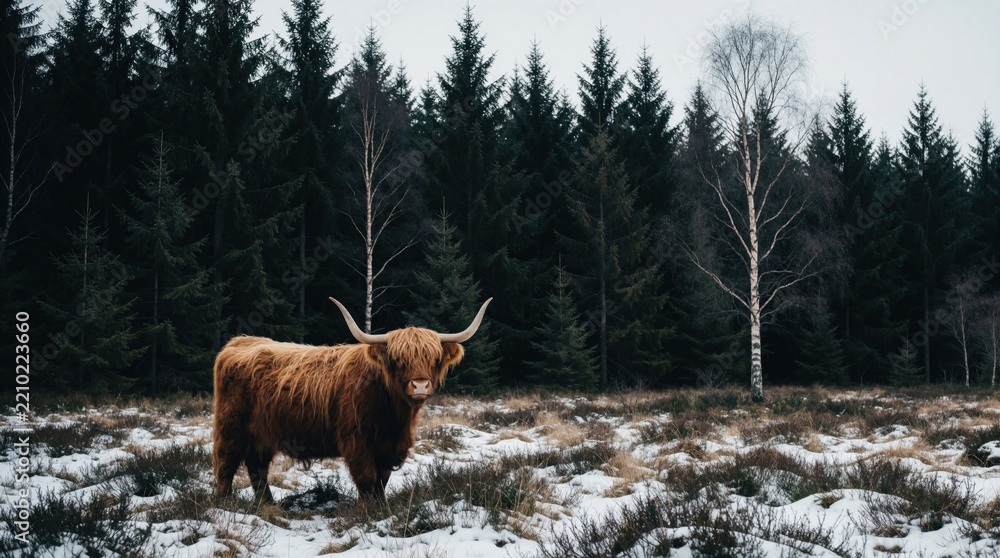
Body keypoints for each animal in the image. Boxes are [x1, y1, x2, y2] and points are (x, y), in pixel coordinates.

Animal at [212, 297, 492, 502]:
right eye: (397, 359)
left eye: (433, 358)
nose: (420, 385)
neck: (394, 416)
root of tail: (239, 341)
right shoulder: (357, 441)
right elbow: (367, 481)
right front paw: (367, 513)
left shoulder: (388, 447)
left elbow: (381, 482)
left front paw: (382, 508)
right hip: (231, 427)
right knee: (226, 463)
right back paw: (225, 504)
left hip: (262, 434)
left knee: (257, 468)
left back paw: (267, 505)